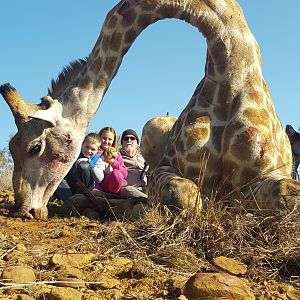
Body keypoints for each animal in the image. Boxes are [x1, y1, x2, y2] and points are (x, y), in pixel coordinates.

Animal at [0, 0, 298, 217]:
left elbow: (288, 192)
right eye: (12, 148)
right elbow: (187, 197)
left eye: (35, 147)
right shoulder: (163, 170)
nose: (24, 210)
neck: (231, 74)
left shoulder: (268, 175)